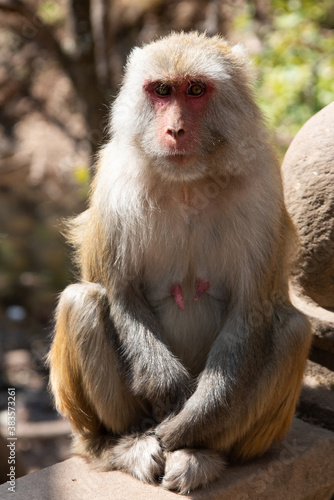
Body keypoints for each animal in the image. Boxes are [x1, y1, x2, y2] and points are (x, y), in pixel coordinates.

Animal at [47, 32, 314, 496]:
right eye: (161, 90)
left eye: (194, 89)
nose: (175, 130)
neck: (188, 184)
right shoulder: (114, 179)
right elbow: (120, 293)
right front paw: (169, 389)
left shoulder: (263, 186)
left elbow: (251, 309)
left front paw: (192, 422)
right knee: (82, 301)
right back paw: (118, 445)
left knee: (293, 329)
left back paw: (202, 454)